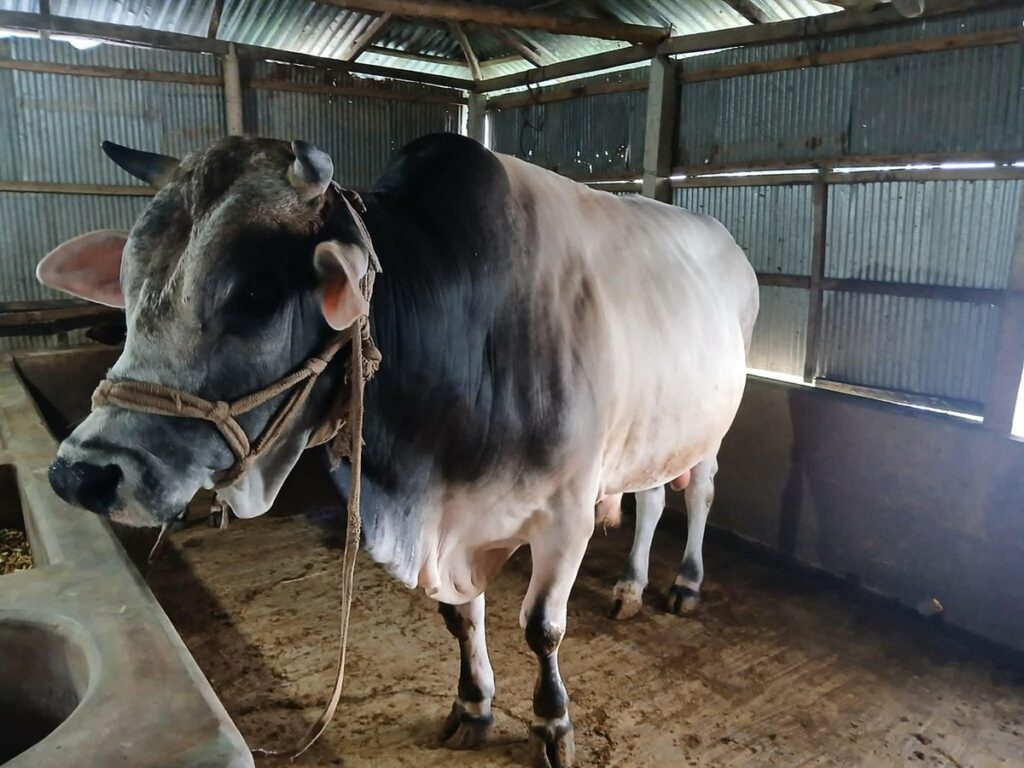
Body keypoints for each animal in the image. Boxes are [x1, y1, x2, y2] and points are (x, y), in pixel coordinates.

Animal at [39, 133, 758, 767]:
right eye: (130, 287)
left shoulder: (566, 514)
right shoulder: (451, 523)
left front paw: (554, 723)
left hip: (714, 427)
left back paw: (685, 584)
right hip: (654, 429)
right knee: (652, 500)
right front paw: (473, 706)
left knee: (699, 495)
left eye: (254, 294)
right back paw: (631, 585)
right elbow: (461, 619)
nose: (83, 474)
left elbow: (541, 628)